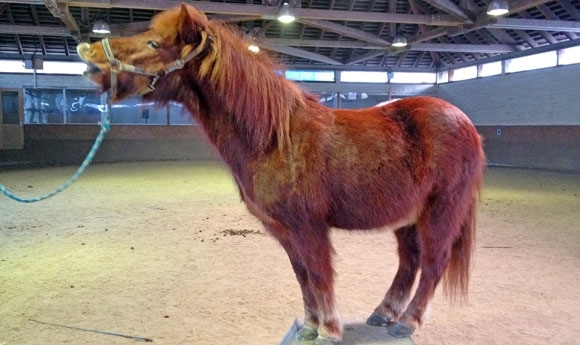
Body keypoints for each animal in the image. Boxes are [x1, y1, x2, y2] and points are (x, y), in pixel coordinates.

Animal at [77, 4, 484, 342]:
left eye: (154, 42)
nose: (89, 54)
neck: (274, 138)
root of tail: (465, 122)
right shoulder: (284, 231)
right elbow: (303, 277)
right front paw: (310, 326)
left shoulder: (308, 228)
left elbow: (319, 274)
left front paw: (328, 331)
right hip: (406, 217)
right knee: (409, 261)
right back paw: (384, 314)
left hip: (441, 211)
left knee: (433, 263)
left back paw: (407, 322)